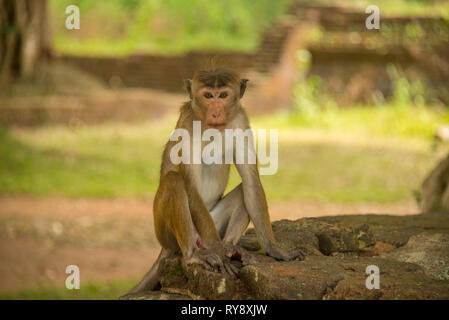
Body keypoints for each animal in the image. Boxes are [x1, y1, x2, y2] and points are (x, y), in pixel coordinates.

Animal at [126, 68, 304, 296]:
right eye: (209, 96)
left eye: (223, 95)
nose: (216, 112)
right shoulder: (188, 124)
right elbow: (190, 186)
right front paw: (219, 253)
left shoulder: (240, 120)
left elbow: (250, 180)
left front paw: (276, 250)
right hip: (168, 233)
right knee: (174, 181)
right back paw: (194, 255)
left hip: (214, 222)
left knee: (243, 190)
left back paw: (229, 247)